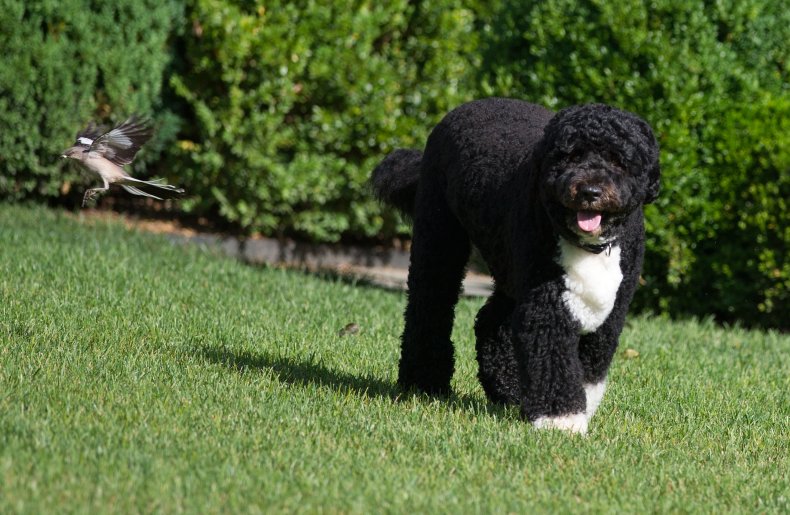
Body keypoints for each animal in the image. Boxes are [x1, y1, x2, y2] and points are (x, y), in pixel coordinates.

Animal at [372, 98, 664, 436]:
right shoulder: (546, 304)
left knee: (491, 321)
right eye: (570, 155)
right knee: (429, 306)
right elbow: (552, 357)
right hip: (439, 238)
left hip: (508, 267)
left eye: (618, 160)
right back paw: (423, 382)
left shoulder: (611, 309)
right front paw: (560, 420)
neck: (588, 245)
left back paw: (508, 391)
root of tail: (467, 107)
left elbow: (590, 365)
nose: (589, 191)